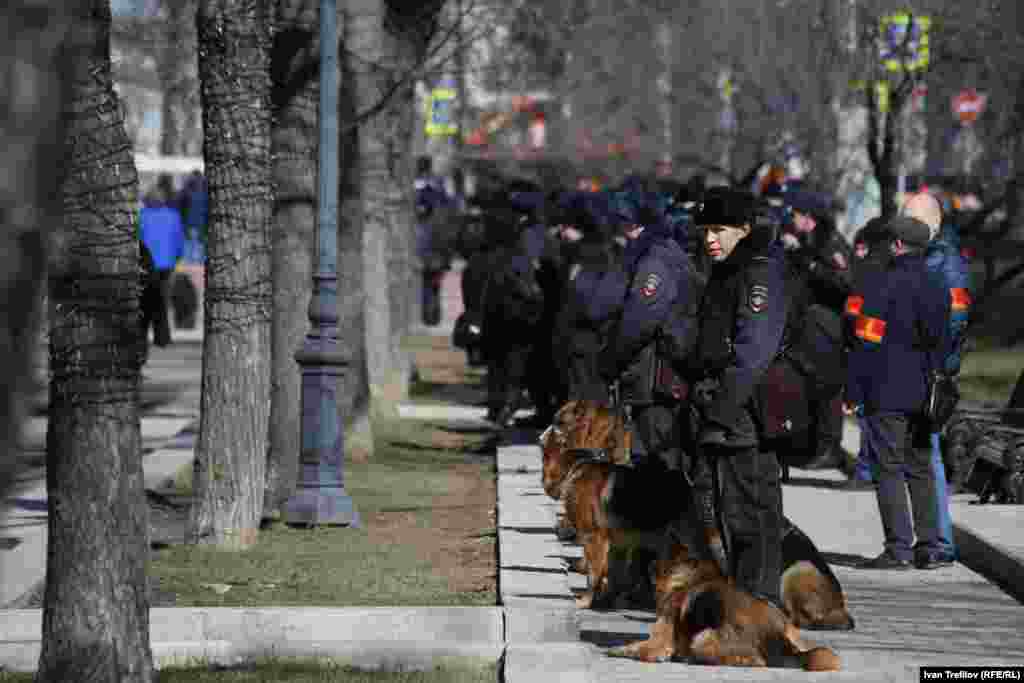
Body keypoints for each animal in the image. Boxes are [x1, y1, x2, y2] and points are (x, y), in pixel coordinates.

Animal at [544, 397, 856, 634]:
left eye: (559, 421)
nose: (543, 432)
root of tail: (841, 609)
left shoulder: (600, 539)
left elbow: (597, 574)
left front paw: (591, 598)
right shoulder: (622, 542)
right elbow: (614, 572)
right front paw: (610, 598)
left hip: (794, 569)